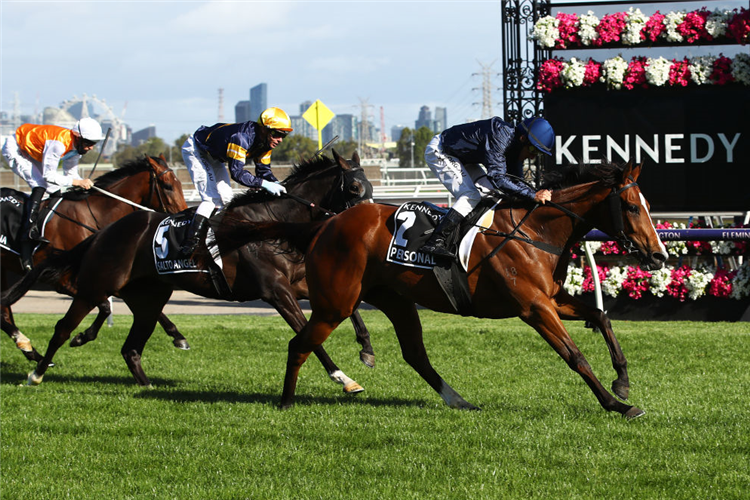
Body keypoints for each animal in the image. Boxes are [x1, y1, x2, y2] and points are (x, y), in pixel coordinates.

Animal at [0, 155, 188, 360]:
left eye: (179, 184)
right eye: (168, 186)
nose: (184, 214)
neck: (91, 216)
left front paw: (178, 336)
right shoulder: (64, 280)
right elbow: (106, 305)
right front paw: (82, 336)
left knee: (4, 309)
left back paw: (30, 351)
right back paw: (26, 345)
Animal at [219, 161, 668, 418]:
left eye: (647, 205)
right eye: (631, 207)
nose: (658, 255)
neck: (537, 231)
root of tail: (325, 223)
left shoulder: (552, 299)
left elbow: (601, 315)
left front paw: (622, 381)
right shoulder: (534, 307)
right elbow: (574, 356)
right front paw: (618, 405)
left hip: (394, 300)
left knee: (415, 355)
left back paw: (459, 400)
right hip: (335, 302)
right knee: (300, 344)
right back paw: (287, 402)